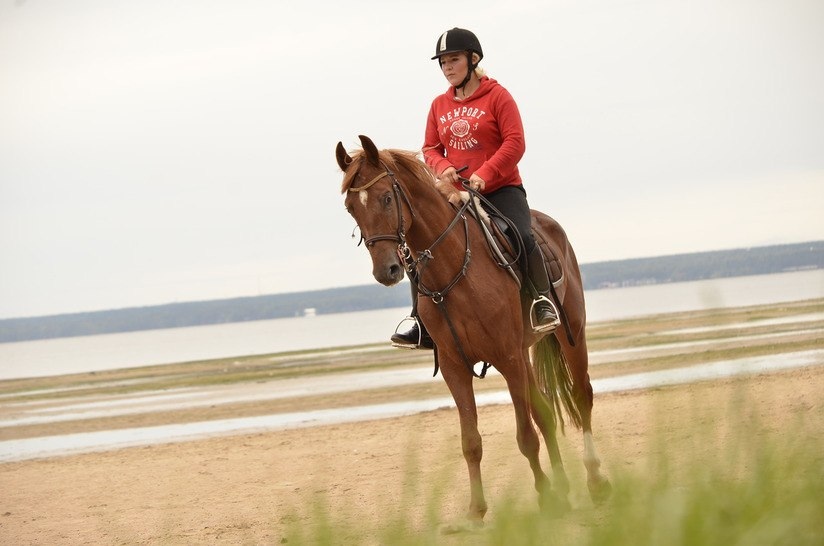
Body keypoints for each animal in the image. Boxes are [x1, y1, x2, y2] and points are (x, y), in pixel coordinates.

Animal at [334, 134, 612, 520]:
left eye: (387, 197)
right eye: (350, 208)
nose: (386, 270)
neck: (454, 269)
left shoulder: (507, 358)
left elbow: (525, 436)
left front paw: (543, 496)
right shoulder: (456, 367)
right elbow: (471, 442)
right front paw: (476, 511)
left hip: (571, 335)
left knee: (581, 395)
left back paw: (595, 479)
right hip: (524, 353)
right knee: (544, 412)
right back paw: (564, 488)